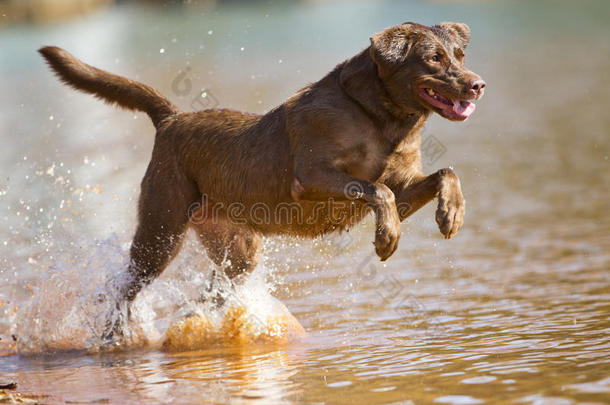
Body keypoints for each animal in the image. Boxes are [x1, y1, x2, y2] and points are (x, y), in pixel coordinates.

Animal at [39, 20, 484, 340]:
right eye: (432, 58)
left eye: (460, 54)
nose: (478, 84)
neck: (380, 118)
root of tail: (171, 119)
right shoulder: (312, 176)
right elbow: (378, 189)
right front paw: (386, 237)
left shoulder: (406, 185)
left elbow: (442, 173)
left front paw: (452, 214)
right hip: (161, 232)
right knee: (125, 286)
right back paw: (115, 334)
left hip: (237, 248)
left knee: (211, 292)